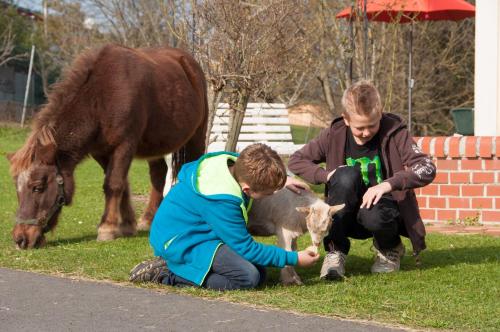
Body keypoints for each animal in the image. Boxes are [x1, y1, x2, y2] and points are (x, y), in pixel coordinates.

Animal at [8, 44, 207, 248]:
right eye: (17, 188)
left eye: (38, 187)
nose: (20, 238)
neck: (100, 98)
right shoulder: (101, 152)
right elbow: (122, 185)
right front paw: (127, 225)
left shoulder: (125, 145)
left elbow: (114, 183)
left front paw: (107, 228)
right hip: (156, 146)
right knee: (158, 177)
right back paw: (148, 220)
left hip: (196, 137)